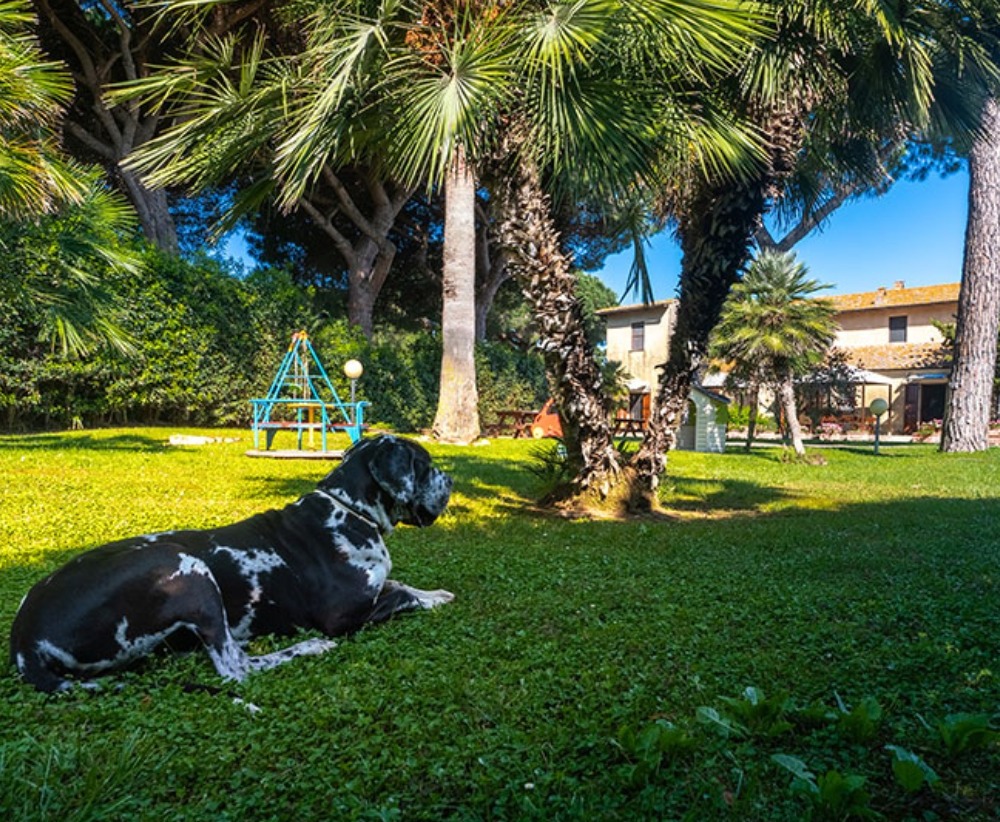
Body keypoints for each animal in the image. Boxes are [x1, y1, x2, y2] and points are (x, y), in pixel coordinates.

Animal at [6, 434, 454, 692]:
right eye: (426, 463)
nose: (449, 479)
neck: (350, 510)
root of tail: (24, 639)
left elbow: (401, 586)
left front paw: (435, 592)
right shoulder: (343, 615)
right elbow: (402, 598)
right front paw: (429, 600)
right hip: (185, 567)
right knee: (235, 667)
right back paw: (306, 647)